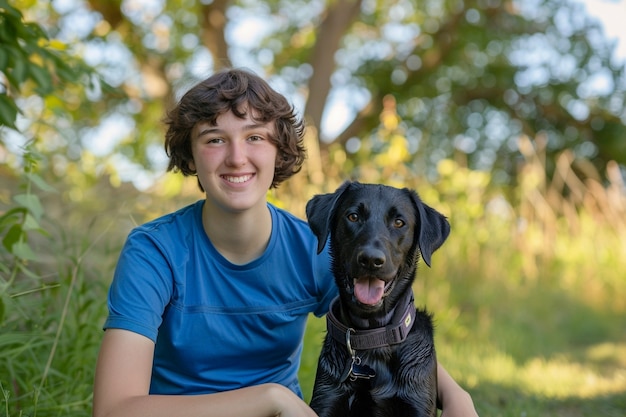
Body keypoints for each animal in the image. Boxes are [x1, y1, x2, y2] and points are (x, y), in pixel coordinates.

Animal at [304, 181, 446, 416]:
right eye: (353, 216)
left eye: (399, 222)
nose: (371, 260)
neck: (373, 338)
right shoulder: (326, 399)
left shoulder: (417, 403)